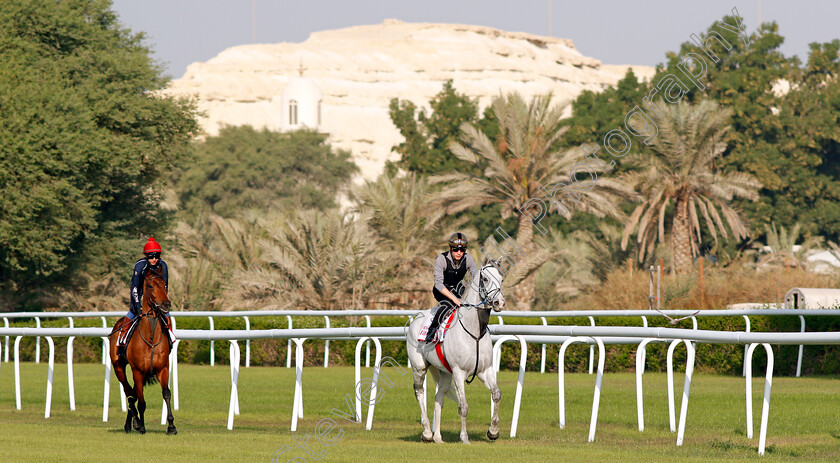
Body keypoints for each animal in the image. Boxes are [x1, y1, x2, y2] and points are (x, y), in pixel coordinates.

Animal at [109, 268, 176, 436]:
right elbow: (141, 401)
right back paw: (134, 422)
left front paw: (171, 426)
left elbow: (166, 394)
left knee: (132, 394)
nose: (166, 304)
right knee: (129, 393)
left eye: (164, 284)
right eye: (150, 285)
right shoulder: (138, 371)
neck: (151, 338)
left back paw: (130, 424)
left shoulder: (162, 368)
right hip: (119, 367)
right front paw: (142, 426)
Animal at [406, 260, 506, 446]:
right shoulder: (459, 373)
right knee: (419, 392)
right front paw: (464, 437)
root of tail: (417, 318)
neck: (475, 332)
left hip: (445, 373)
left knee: (439, 397)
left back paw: (438, 437)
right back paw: (427, 432)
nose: (499, 303)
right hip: (419, 368)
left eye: (501, 279)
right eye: (486, 279)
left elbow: (496, 395)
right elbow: (463, 407)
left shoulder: (485, 370)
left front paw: (493, 432)